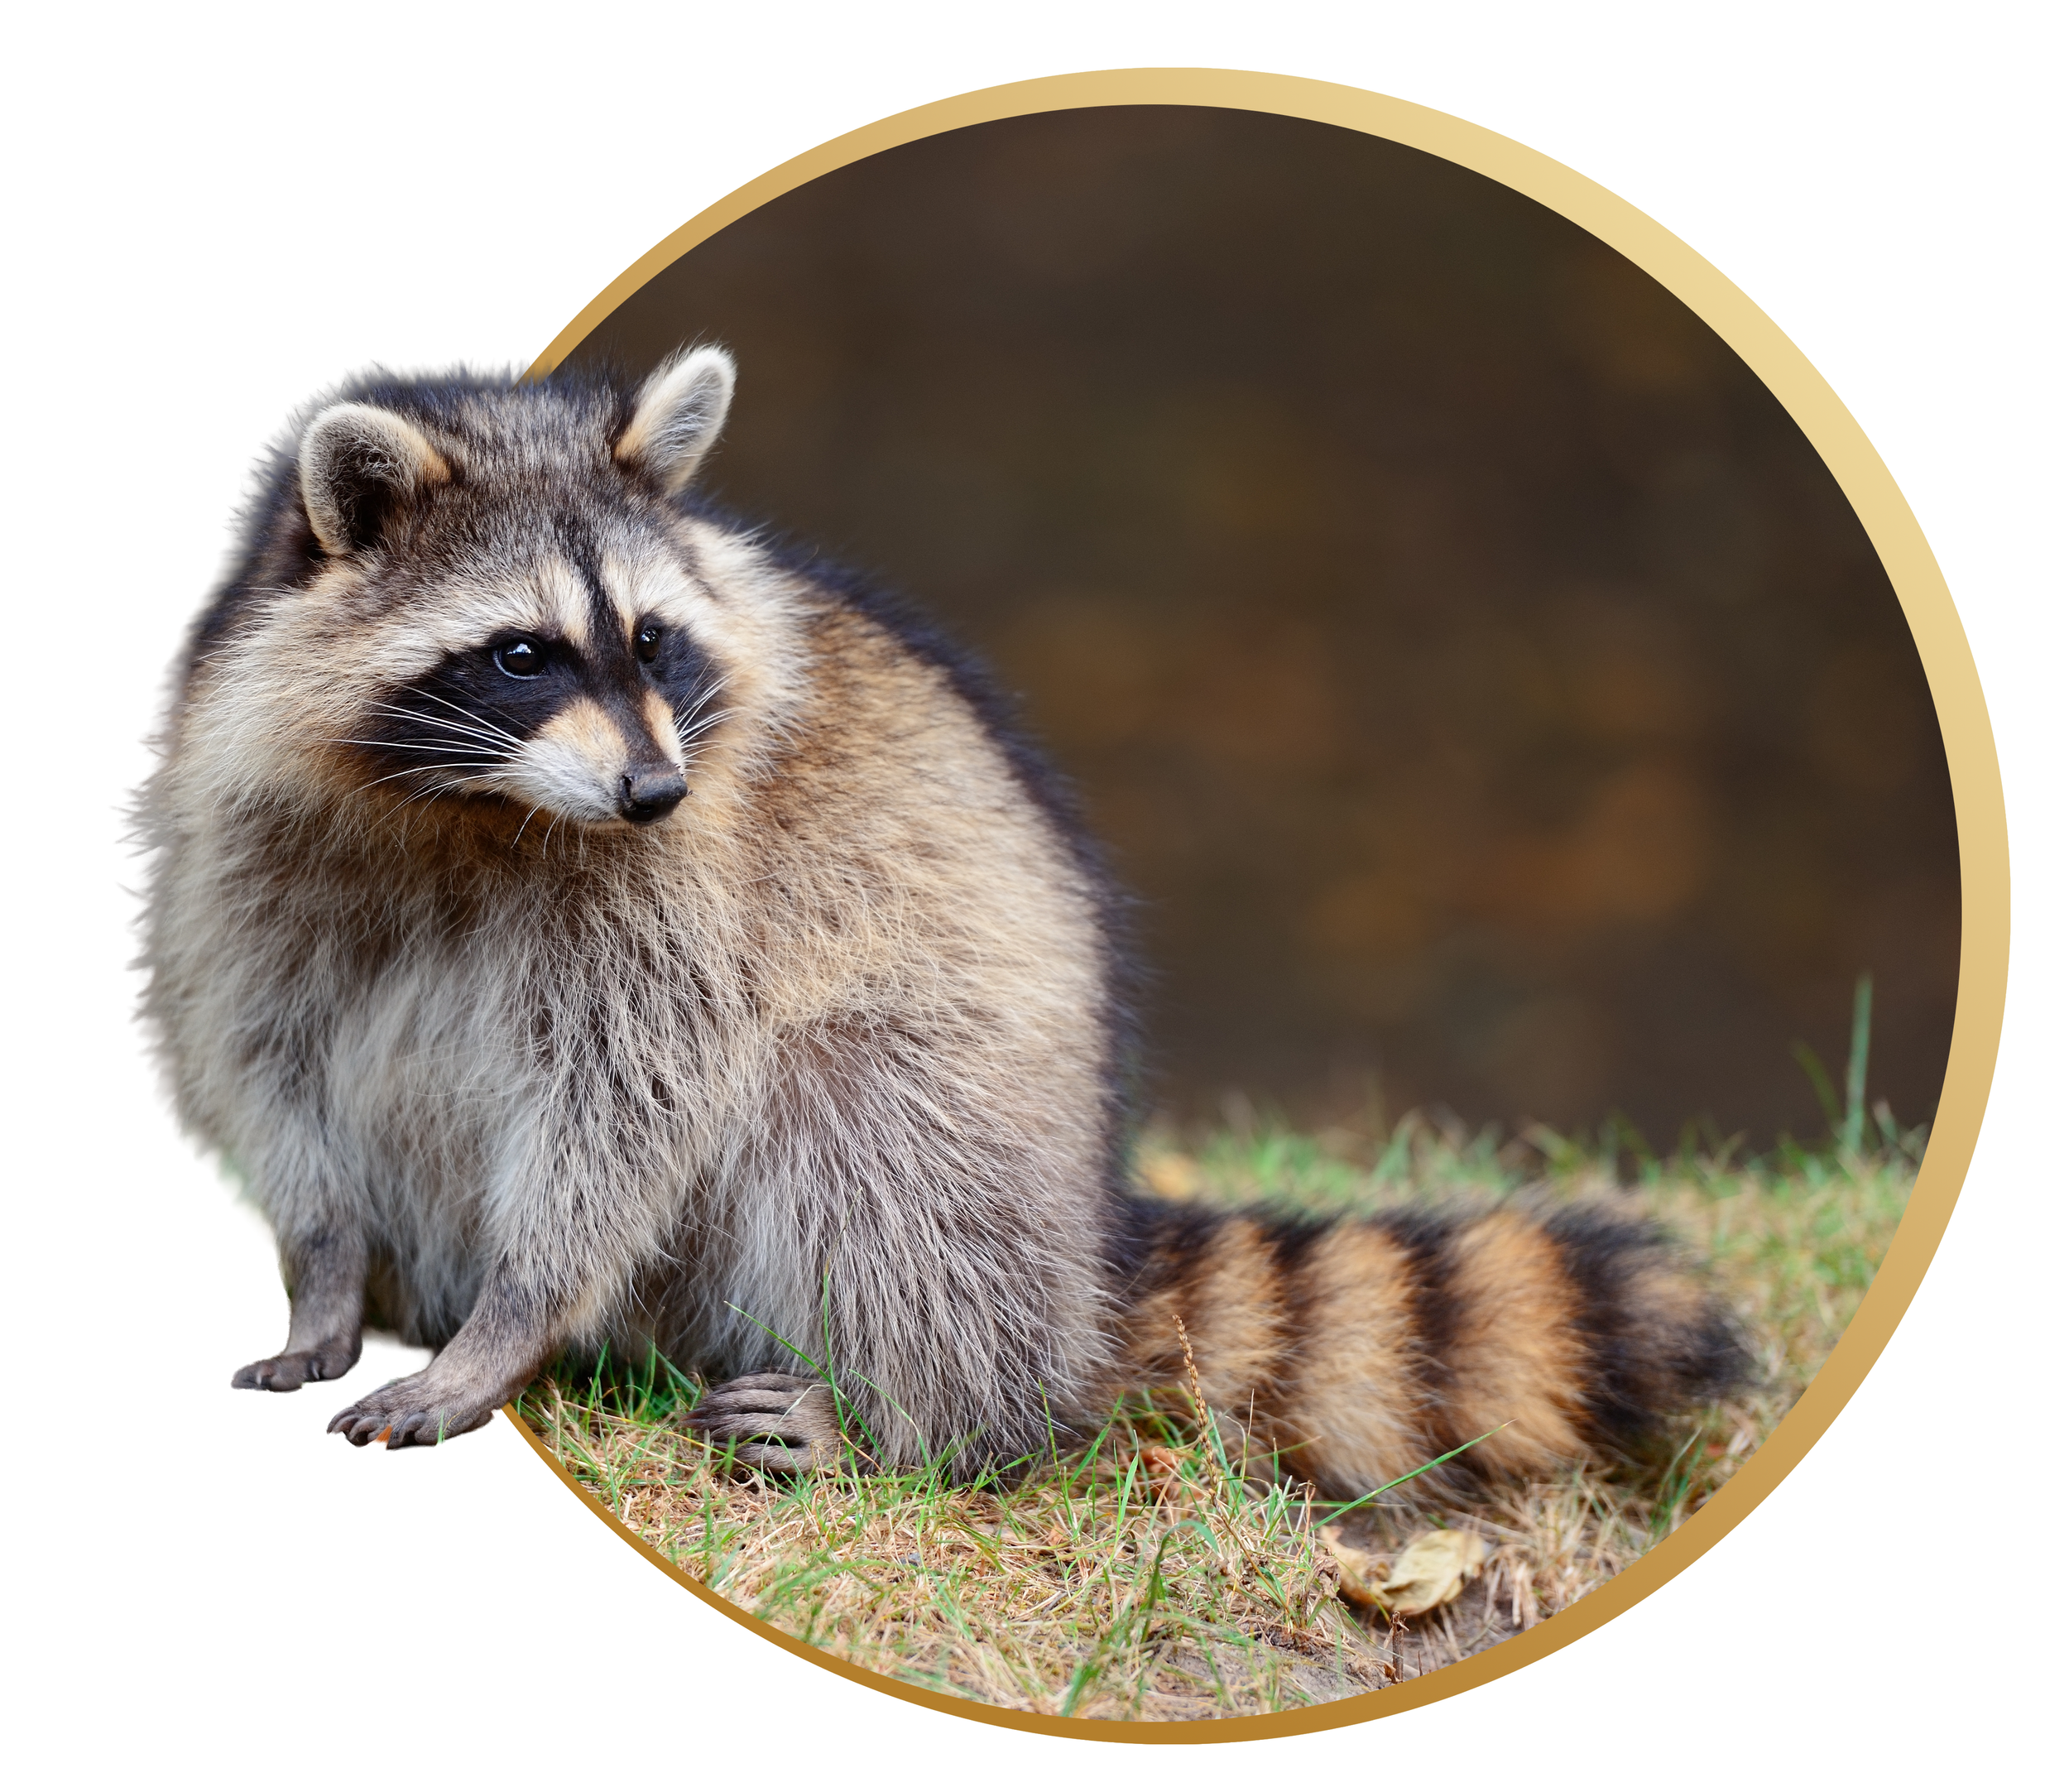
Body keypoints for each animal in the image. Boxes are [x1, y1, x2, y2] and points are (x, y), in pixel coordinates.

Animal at [138, 349, 1742, 1491]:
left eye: (651, 638)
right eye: (521, 653)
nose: (655, 787)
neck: (472, 803)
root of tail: (1091, 1239)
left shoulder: (687, 886)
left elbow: (631, 1095)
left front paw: (513, 1319)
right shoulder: (246, 833)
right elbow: (264, 1048)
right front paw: (322, 1271)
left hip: (977, 1114)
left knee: (865, 1132)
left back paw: (921, 1417)